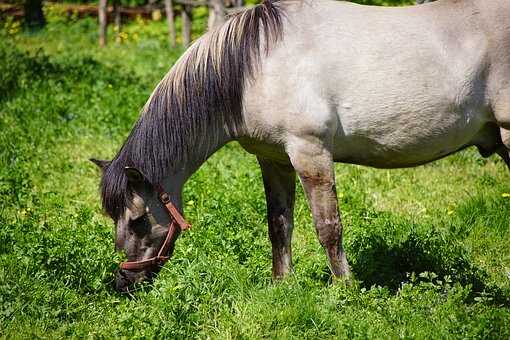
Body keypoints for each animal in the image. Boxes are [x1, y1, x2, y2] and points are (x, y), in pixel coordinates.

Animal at [90, 0, 510, 292]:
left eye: (139, 220)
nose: (125, 283)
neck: (254, 66)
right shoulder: (273, 160)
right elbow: (279, 225)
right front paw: (282, 284)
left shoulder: (310, 154)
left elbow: (328, 227)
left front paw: (346, 290)